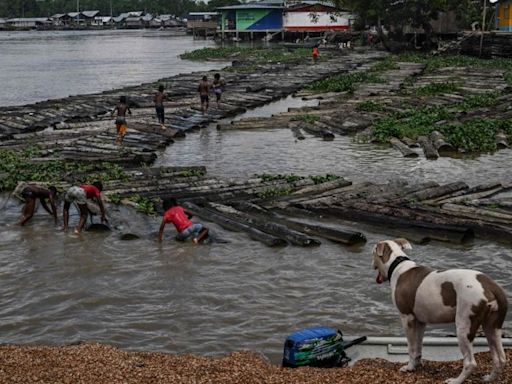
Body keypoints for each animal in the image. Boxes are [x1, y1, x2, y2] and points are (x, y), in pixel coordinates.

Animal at [372, 238, 508, 382]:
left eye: (372, 253)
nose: (371, 263)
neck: (398, 265)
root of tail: (491, 285)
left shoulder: (407, 318)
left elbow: (411, 348)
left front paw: (409, 367)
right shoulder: (420, 322)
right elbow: (418, 347)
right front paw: (417, 364)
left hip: (464, 326)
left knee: (470, 362)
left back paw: (455, 381)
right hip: (491, 327)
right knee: (500, 358)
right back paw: (489, 378)